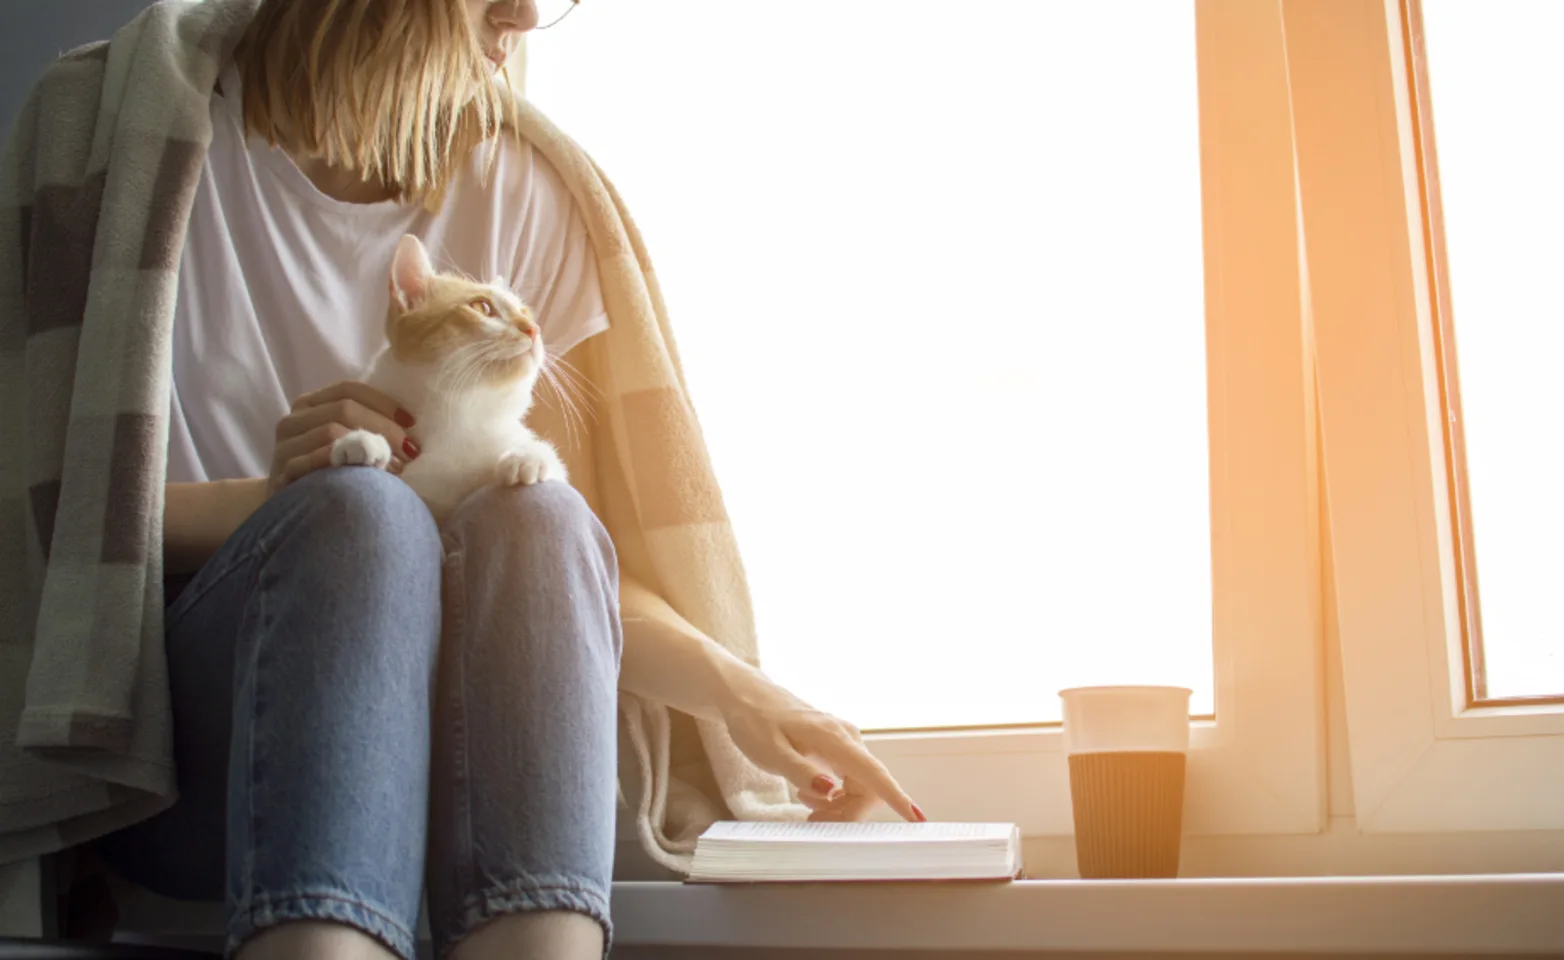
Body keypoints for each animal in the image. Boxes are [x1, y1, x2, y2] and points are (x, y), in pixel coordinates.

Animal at [330, 234, 569, 522]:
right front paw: (362, 440)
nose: (533, 328)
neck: (457, 414)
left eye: (526, 313)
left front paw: (529, 454)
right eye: (482, 307)